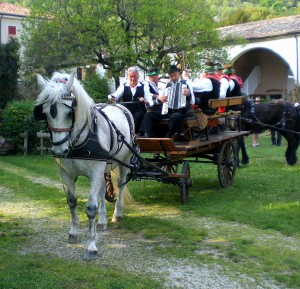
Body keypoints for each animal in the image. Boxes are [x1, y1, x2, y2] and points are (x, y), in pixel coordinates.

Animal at [34, 71, 135, 258]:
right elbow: (72, 202)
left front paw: (91, 246)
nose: (59, 150)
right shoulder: (65, 173)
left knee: (120, 185)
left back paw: (117, 214)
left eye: (69, 112)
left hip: (125, 160)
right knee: (102, 190)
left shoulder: (95, 172)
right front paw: (74, 232)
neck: (78, 141)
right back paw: (102, 221)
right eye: (45, 113)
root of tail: (119, 106)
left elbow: (90, 208)